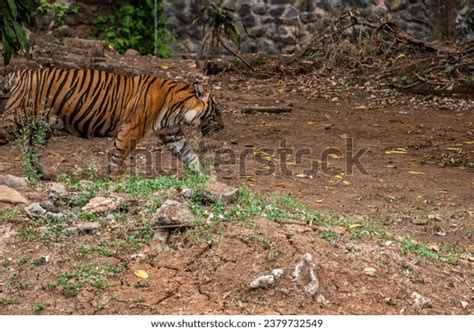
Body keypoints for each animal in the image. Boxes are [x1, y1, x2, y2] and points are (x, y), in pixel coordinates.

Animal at [0, 68, 225, 178]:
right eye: (217, 113)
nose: (223, 127)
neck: (179, 109)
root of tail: (19, 72)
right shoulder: (131, 129)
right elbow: (119, 154)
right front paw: (115, 178)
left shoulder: (171, 133)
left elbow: (188, 154)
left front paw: (202, 176)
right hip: (16, 117)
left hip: (43, 126)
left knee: (32, 149)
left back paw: (42, 174)